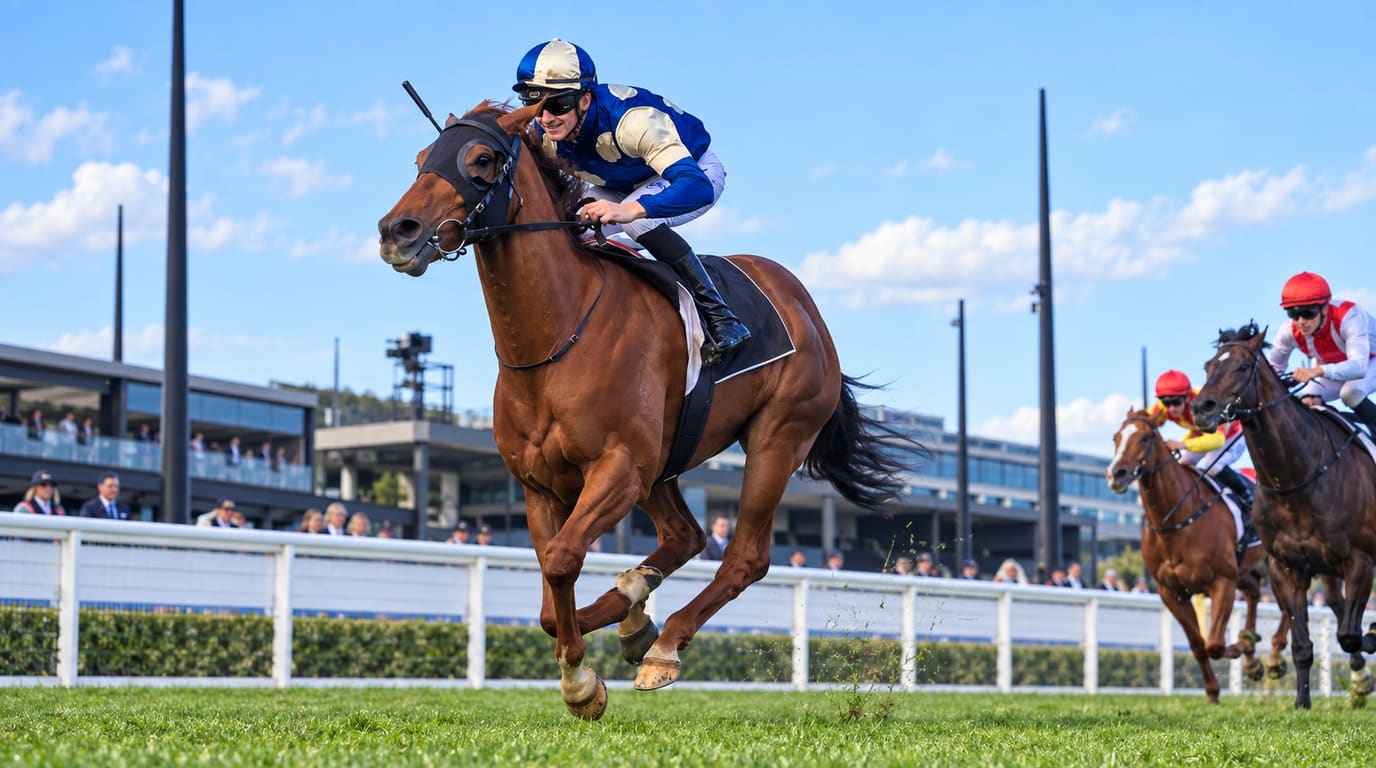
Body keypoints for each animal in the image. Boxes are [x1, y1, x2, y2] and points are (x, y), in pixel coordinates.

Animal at [377, 102, 919, 719]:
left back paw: (664, 644)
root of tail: (804, 304)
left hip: (777, 437)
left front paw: (580, 682)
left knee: (745, 557)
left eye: (482, 160)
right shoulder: (539, 485)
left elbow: (562, 560)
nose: (397, 231)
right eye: (422, 159)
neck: (556, 337)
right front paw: (603, 643)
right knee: (686, 536)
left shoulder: (618, 468)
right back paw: (637, 611)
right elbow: (549, 599)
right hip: (664, 462)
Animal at [1106, 409, 1289, 702]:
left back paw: (1271, 656)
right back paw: (1251, 654)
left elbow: (1214, 644)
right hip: (1243, 569)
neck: (1176, 520)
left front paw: (1240, 647)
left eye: (1144, 438)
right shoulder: (1172, 592)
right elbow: (1198, 645)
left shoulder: (1222, 581)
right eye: (1116, 437)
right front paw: (1213, 691)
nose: (1116, 474)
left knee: (1288, 604)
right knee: (1253, 590)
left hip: (1276, 560)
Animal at [1191, 321, 1376, 708]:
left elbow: (1350, 635)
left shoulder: (1360, 560)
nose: (1201, 408)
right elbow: (1303, 643)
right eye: (1208, 367)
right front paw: (1301, 702)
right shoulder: (1285, 566)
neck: (1297, 478)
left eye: (1243, 367)